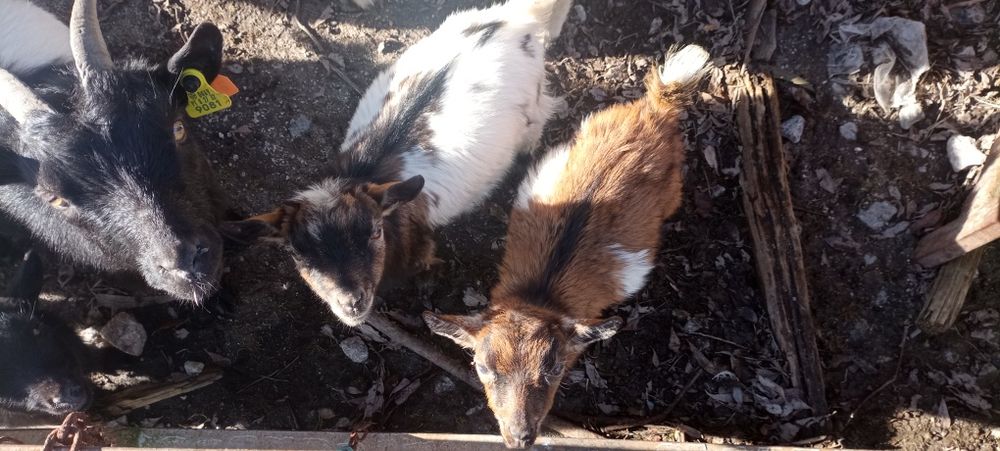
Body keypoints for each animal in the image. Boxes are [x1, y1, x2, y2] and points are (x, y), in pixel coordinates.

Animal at [223, 0, 574, 326]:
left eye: (375, 231)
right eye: (297, 253)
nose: (351, 303)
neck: (362, 172)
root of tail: (514, 19)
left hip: (534, 107)